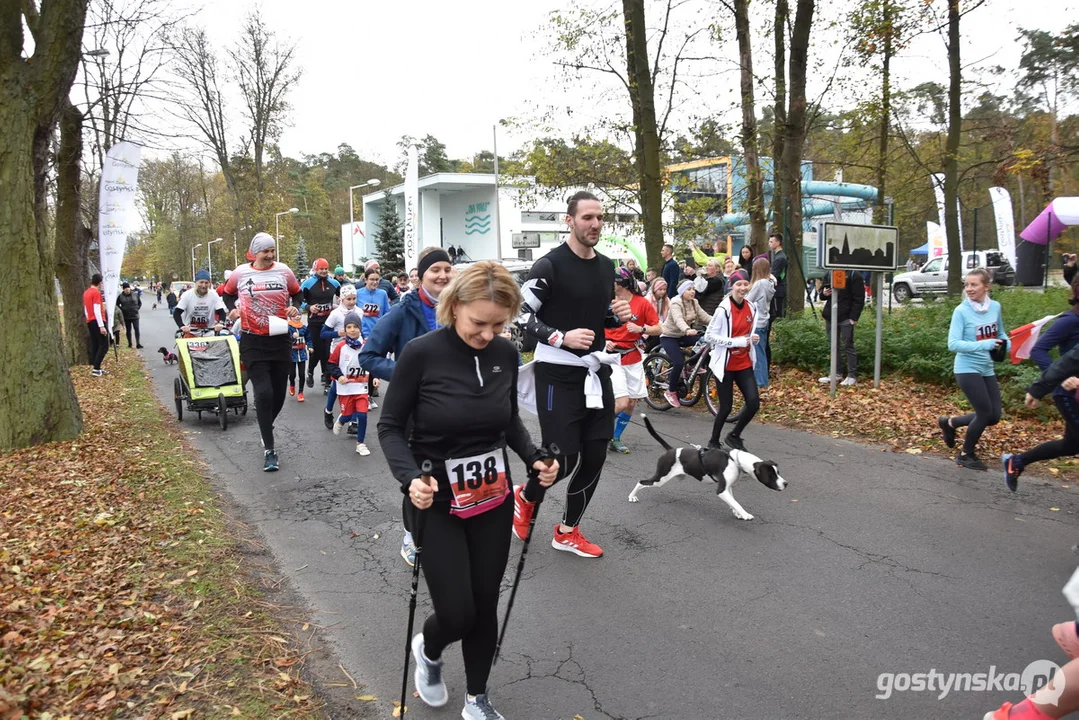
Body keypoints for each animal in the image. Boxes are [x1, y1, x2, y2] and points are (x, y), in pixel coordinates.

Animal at [630, 414, 789, 520]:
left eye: (778, 472)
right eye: (771, 475)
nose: (786, 483)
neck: (735, 460)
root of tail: (671, 450)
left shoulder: (727, 486)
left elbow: (733, 501)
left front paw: (737, 513)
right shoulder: (721, 490)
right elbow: (736, 503)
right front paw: (745, 514)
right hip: (660, 479)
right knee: (641, 481)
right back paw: (632, 496)